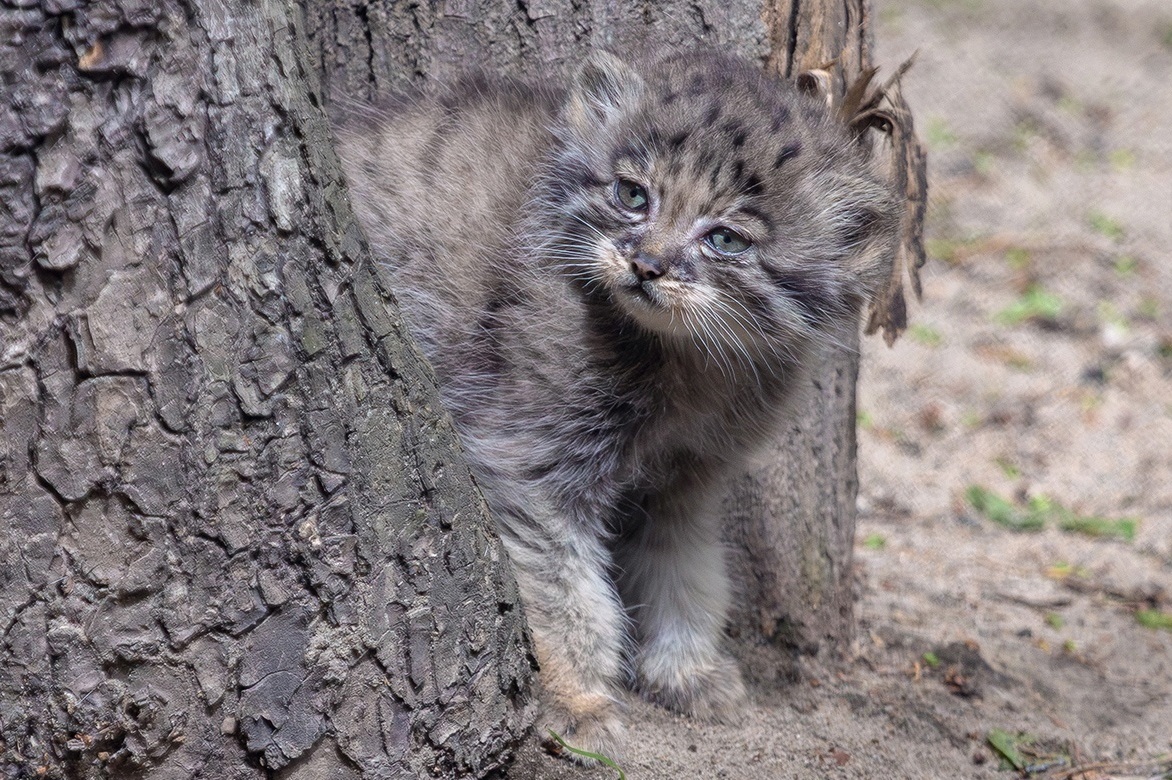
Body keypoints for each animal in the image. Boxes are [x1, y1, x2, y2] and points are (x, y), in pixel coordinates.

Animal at [335, 51, 900, 754]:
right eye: (633, 195)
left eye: (726, 240)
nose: (646, 264)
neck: (689, 367)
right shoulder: (531, 462)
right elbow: (565, 593)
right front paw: (574, 697)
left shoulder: (687, 479)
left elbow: (686, 572)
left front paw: (687, 671)